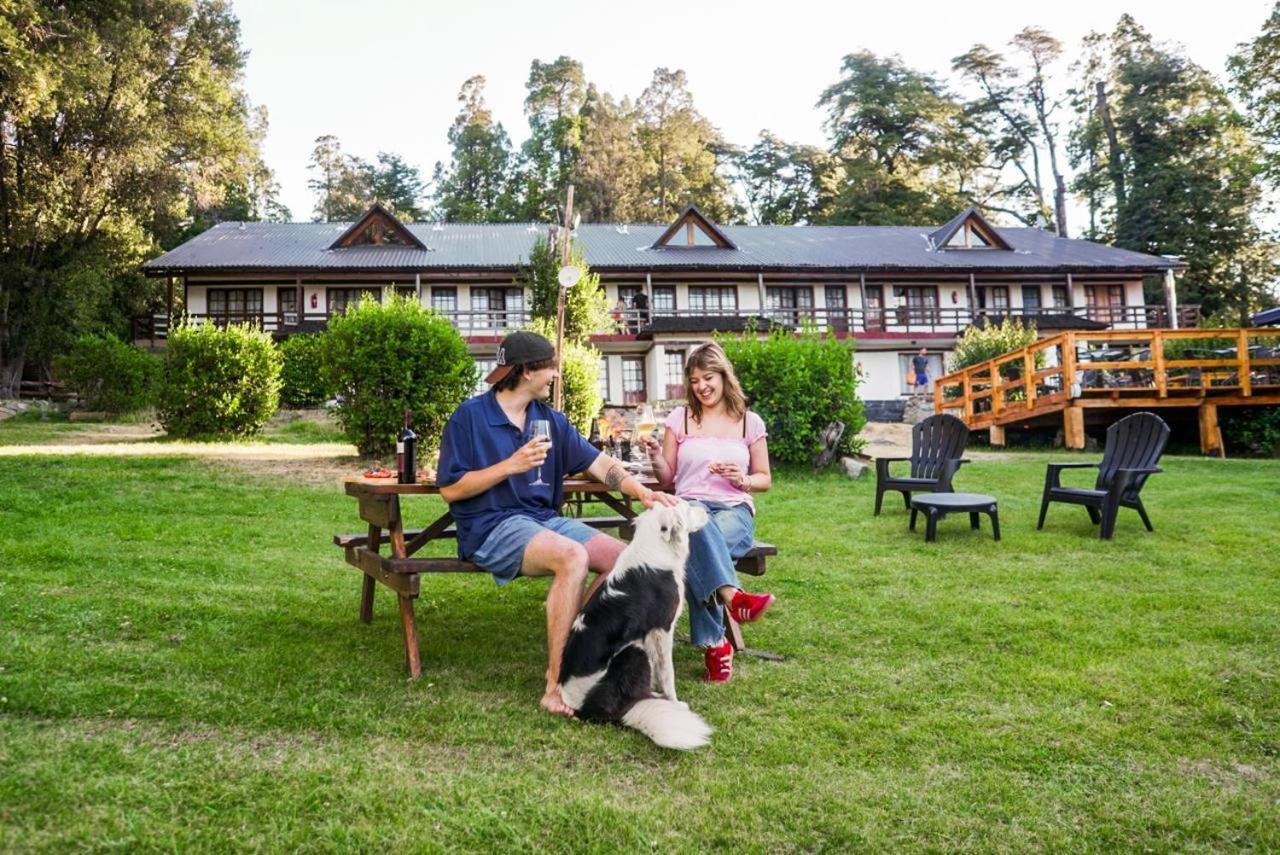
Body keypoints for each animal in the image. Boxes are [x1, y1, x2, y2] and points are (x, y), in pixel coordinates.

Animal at [560, 501, 716, 747]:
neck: (657, 544)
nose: (707, 511)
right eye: (686, 508)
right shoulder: (663, 628)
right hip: (633, 651)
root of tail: (585, 710)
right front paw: (675, 701)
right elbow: (667, 672)